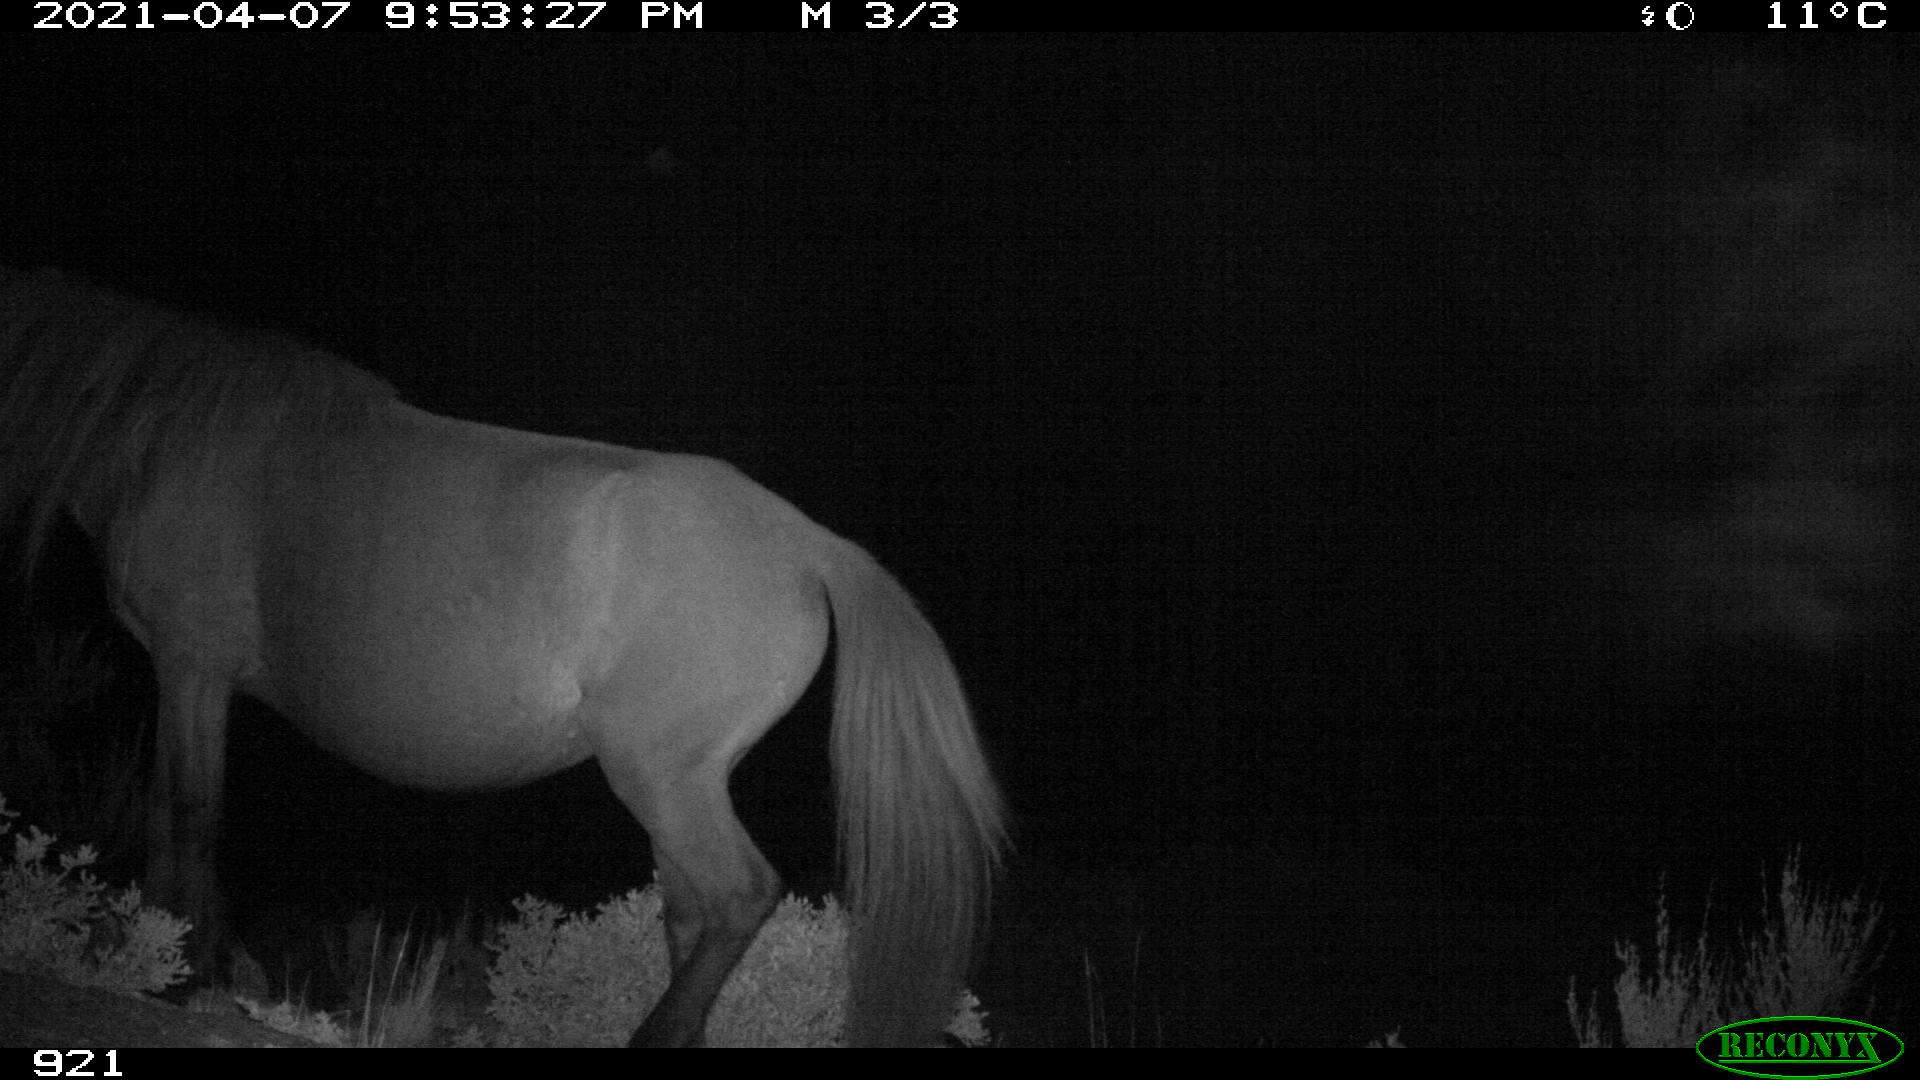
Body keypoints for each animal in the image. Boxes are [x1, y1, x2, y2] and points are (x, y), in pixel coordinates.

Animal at [0, 266, 1005, 1046]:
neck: (164, 434)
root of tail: (806, 542)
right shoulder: (194, 675)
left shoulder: (190, 666)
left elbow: (188, 810)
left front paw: (181, 963)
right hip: (683, 781)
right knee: (693, 910)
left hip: (662, 773)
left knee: (734, 896)